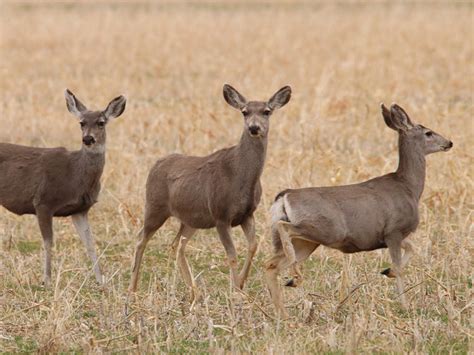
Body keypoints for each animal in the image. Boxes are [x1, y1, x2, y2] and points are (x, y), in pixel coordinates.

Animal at [0, 90, 127, 288]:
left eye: (101, 122)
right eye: (81, 123)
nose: (88, 139)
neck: (75, 175)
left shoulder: (80, 209)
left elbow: (90, 244)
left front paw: (101, 281)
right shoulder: (43, 201)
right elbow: (48, 242)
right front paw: (47, 280)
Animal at [130, 84, 292, 298]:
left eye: (266, 111)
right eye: (244, 112)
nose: (254, 127)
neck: (241, 176)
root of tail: (156, 165)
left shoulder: (247, 214)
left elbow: (253, 246)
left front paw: (241, 284)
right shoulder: (220, 215)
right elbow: (232, 255)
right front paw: (236, 291)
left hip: (191, 219)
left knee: (177, 245)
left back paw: (194, 292)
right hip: (155, 206)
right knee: (141, 238)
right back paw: (132, 288)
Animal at [264, 103, 454, 320]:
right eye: (428, 132)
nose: (449, 142)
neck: (409, 188)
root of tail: (285, 195)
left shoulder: (386, 236)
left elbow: (412, 248)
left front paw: (387, 271)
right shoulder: (394, 231)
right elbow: (400, 266)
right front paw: (404, 305)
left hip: (307, 242)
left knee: (271, 265)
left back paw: (284, 311)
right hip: (325, 229)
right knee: (284, 229)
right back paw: (296, 277)